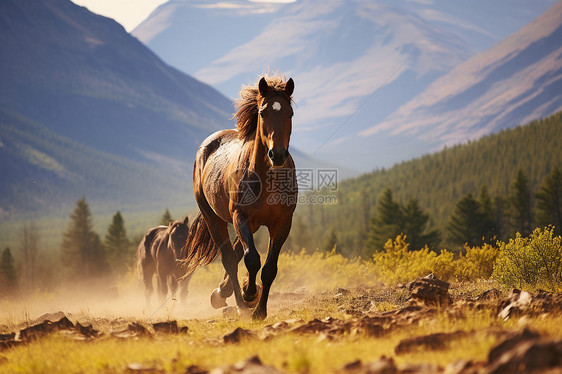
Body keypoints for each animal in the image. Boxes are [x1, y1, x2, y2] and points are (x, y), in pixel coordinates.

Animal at [180, 74, 296, 320]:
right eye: (263, 113)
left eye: (290, 113)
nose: (277, 154)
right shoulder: (240, 216)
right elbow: (252, 259)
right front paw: (249, 294)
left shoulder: (282, 223)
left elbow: (270, 268)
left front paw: (260, 310)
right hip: (216, 219)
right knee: (230, 258)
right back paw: (237, 302)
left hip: (250, 223)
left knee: (235, 252)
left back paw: (222, 293)